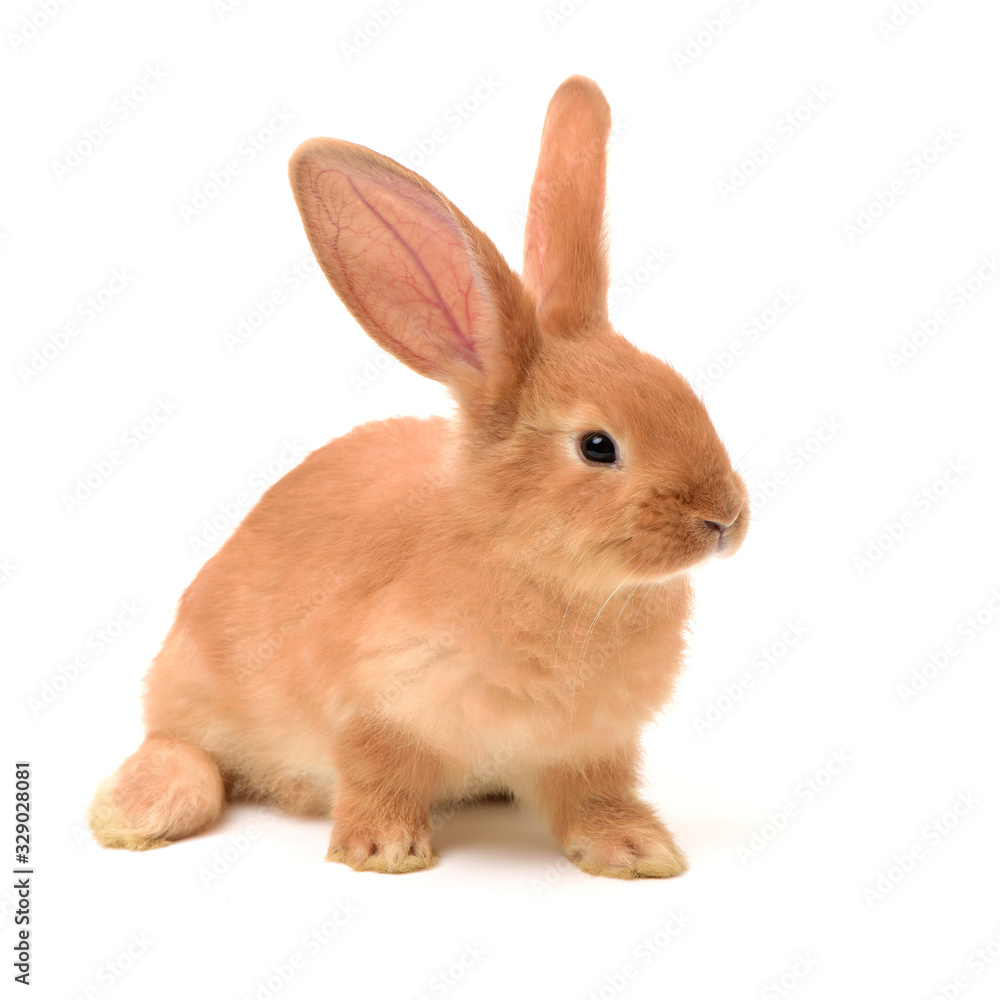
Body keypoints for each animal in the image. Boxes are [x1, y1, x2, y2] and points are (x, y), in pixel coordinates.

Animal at [87, 75, 749, 879]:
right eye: (597, 446)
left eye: (688, 395)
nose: (725, 518)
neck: (536, 566)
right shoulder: (371, 708)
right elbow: (377, 773)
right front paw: (384, 850)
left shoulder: (592, 747)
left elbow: (594, 795)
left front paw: (636, 850)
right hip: (194, 690)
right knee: (182, 746)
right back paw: (134, 812)